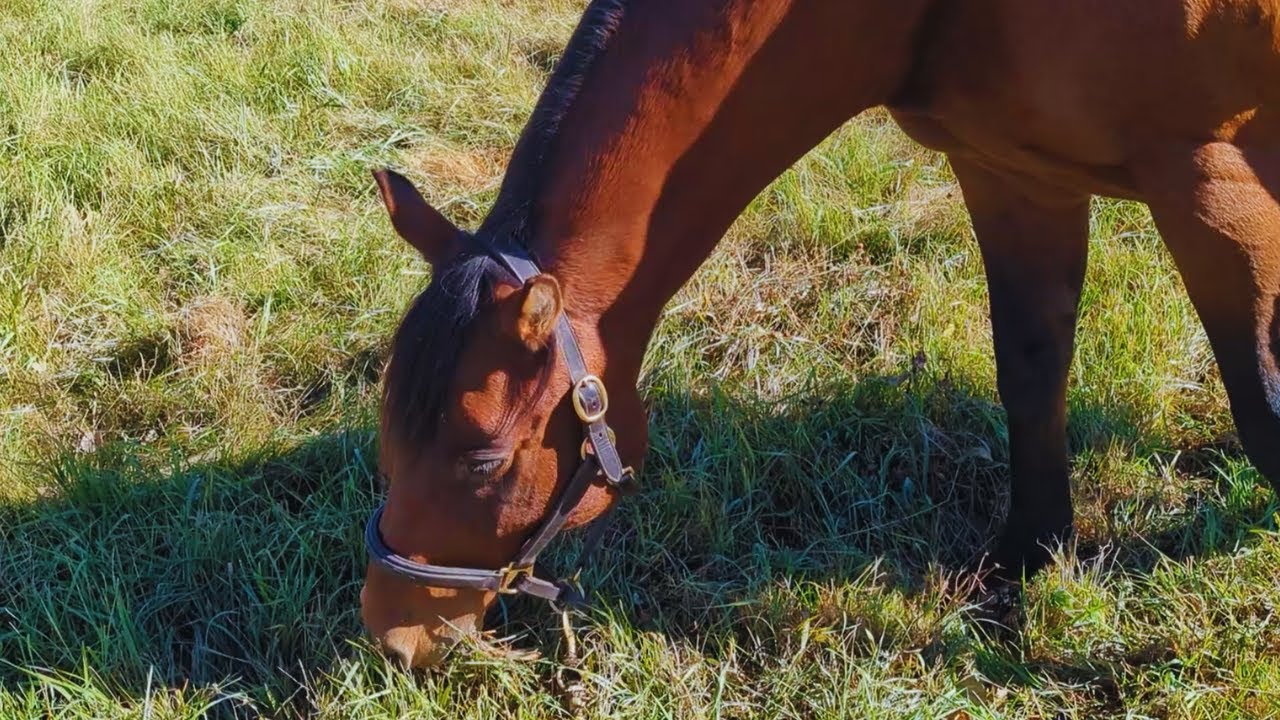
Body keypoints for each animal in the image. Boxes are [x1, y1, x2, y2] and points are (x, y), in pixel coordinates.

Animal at [358, 0, 1280, 668]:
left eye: (484, 460)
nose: (395, 635)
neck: (940, 14)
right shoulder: (1014, 171)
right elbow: (1030, 369)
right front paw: (1032, 555)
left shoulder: (1210, 182)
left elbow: (1262, 412)